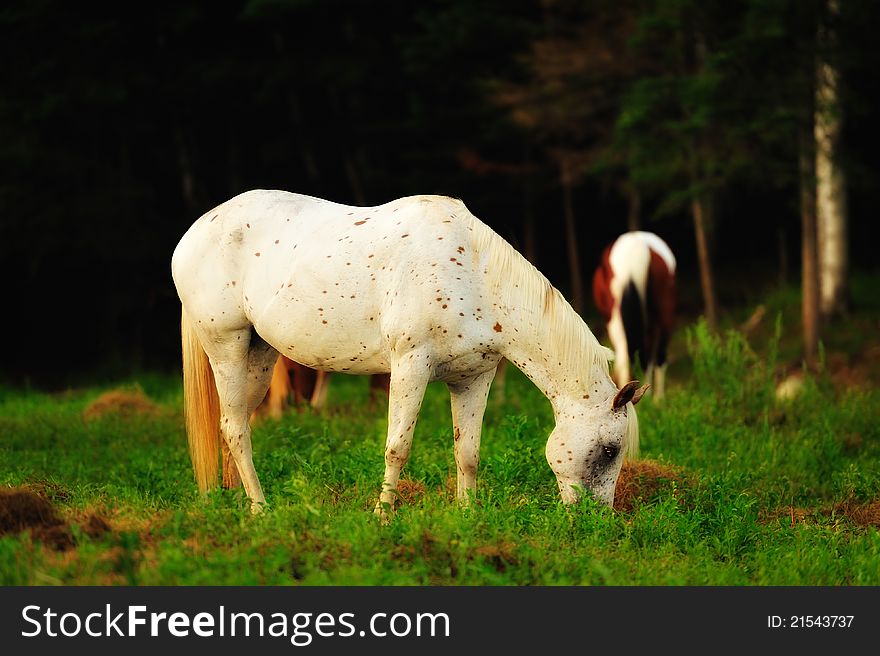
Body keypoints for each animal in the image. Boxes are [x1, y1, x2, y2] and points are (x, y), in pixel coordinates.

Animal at [172, 190, 648, 516]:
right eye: (610, 450)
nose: (595, 520)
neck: (474, 272)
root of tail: (195, 230)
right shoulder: (410, 368)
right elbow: (397, 447)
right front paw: (384, 516)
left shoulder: (473, 379)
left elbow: (467, 452)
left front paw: (467, 516)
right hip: (227, 347)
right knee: (235, 428)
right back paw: (260, 510)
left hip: (258, 355)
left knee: (234, 425)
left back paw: (236, 500)